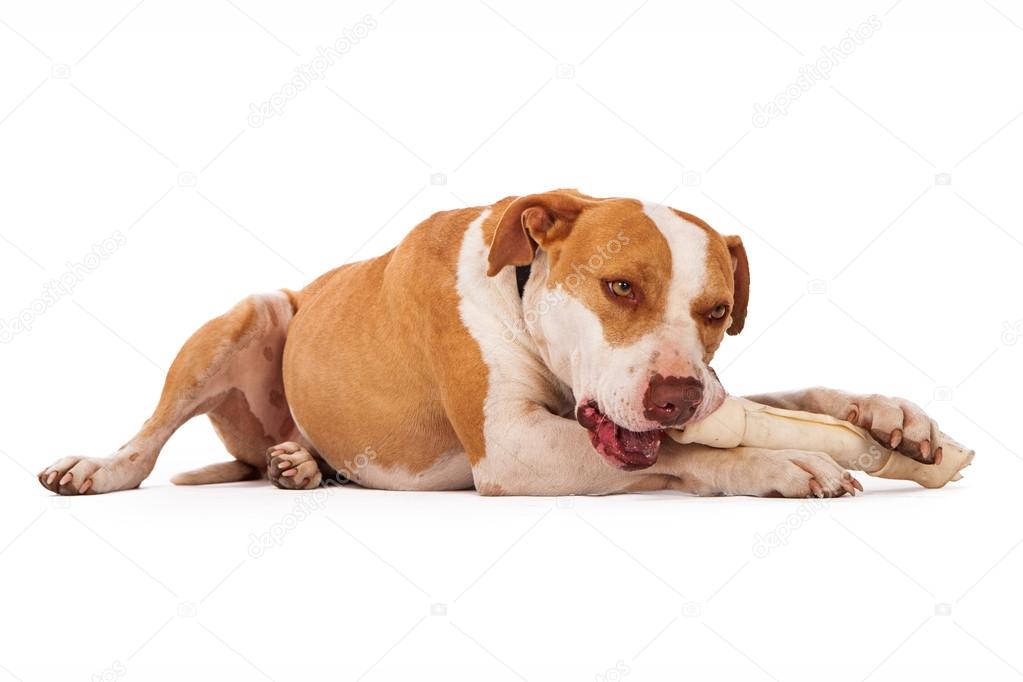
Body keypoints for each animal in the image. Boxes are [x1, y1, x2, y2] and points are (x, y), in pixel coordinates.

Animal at [36, 189, 941, 498]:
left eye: (716, 311)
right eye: (619, 288)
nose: (677, 395)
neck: (521, 294)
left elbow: (779, 401)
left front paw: (887, 417)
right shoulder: (510, 447)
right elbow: (696, 452)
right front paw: (780, 463)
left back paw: (302, 463)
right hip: (249, 315)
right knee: (147, 440)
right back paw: (95, 469)